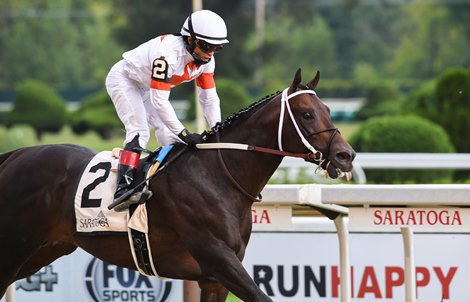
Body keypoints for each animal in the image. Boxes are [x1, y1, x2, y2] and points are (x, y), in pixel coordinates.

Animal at [0, 69, 352, 302]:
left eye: (328, 110)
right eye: (306, 114)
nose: (346, 155)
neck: (218, 176)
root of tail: (16, 155)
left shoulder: (214, 278)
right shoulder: (218, 260)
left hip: (44, 249)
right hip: (14, 248)